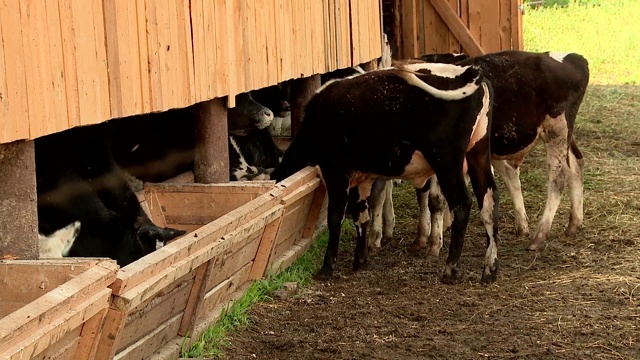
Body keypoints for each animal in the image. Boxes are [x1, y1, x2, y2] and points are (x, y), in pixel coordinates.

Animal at [270, 63, 500, 286]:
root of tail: (468, 71)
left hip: (446, 161)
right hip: (478, 154)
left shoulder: (335, 170)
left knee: (462, 204)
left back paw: (451, 269)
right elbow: (361, 215)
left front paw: (327, 268)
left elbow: (335, 217)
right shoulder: (362, 177)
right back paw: (490, 269)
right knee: (489, 202)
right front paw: (360, 259)